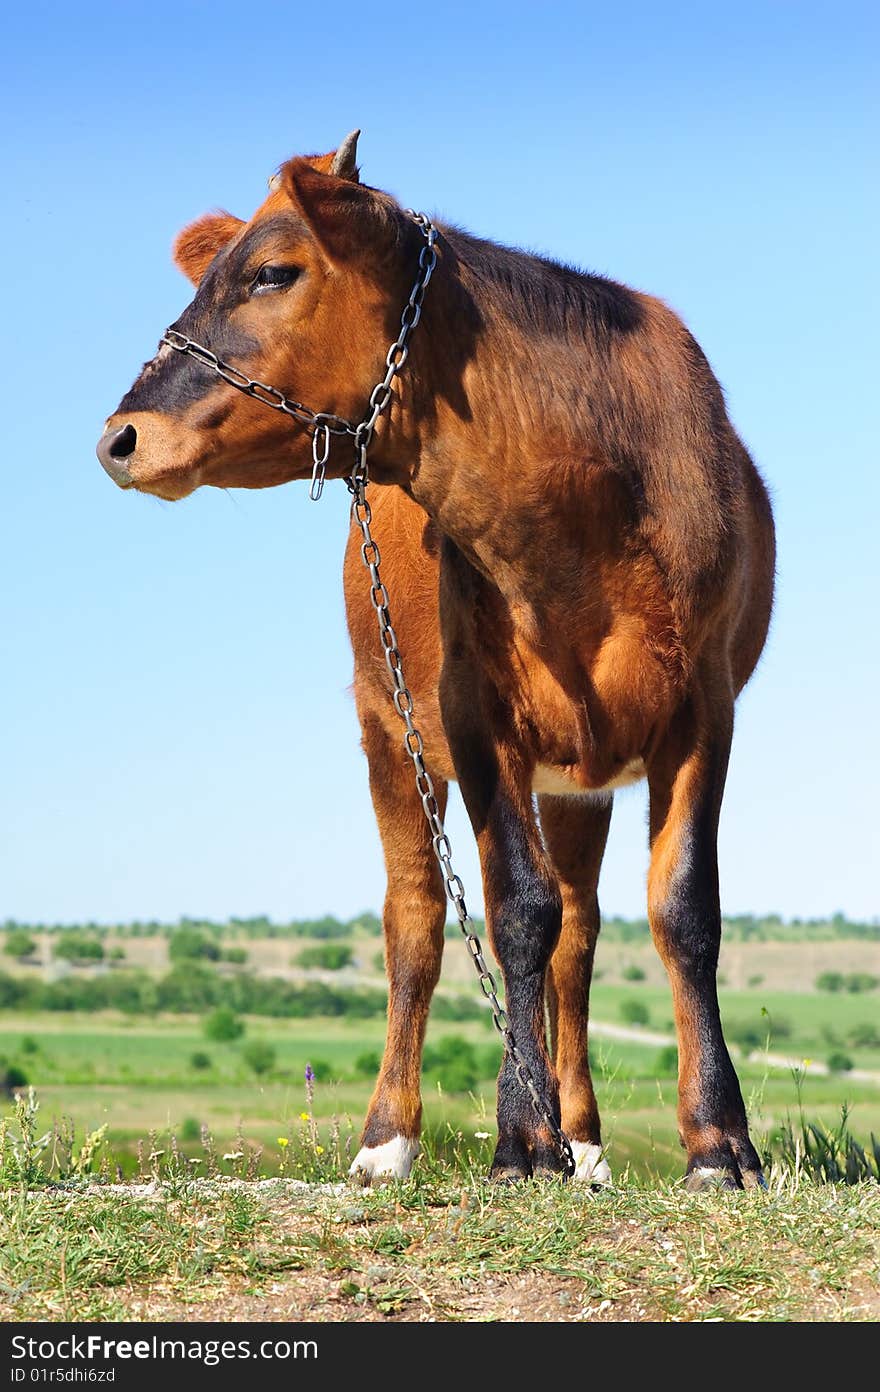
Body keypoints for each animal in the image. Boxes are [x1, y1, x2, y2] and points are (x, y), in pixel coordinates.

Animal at [96, 135, 774, 1191]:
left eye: (271, 272)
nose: (121, 437)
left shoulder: (705, 702)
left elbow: (682, 911)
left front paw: (716, 1140)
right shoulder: (469, 708)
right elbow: (515, 912)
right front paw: (522, 1135)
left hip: (578, 779)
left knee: (579, 933)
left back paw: (587, 1139)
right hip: (386, 727)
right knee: (416, 921)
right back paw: (390, 1138)